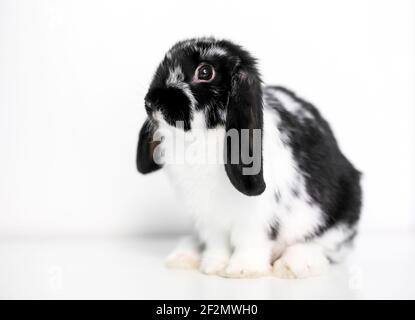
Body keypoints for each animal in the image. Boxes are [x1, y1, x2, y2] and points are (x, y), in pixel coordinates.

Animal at [137, 37, 364, 278]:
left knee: (324, 246)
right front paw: (212, 267)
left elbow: (250, 242)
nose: (150, 103)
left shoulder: (256, 218)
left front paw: (242, 271)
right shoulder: (209, 218)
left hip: (339, 217)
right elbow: (216, 244)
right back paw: (183, 257)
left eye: (205, 72)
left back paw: (293, 266)